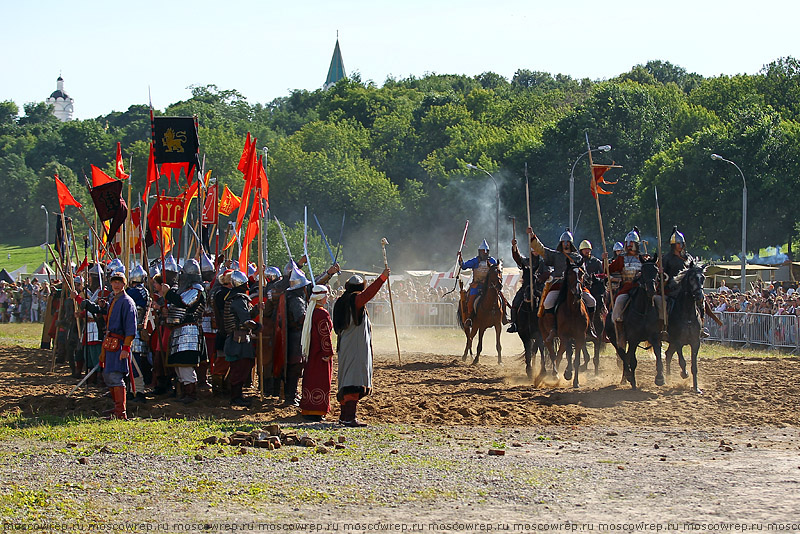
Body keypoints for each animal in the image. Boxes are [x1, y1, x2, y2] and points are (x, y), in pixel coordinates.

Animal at [604, 262, 664, 392]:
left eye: (656, 271)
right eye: (643, 271)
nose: (651, 289)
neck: (643, 310)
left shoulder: (654, 336)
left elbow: (658, 354)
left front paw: (660, 378)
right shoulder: (633, 339)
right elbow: (632, 360)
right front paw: (633, 381)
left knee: (625, 356)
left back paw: (624, 378)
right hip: (615, 338)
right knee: (622, 354)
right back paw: (628, 376)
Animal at [664, 262, 708, 396]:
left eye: (703, 278)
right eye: (692, 278)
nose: (700, 297)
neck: (687, 315)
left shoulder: (695, 342)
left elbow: (694, 366)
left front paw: (696, 388)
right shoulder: (678, 342)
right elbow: (682, 361)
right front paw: (684, 374)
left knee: (668, 355)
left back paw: (668, 379)